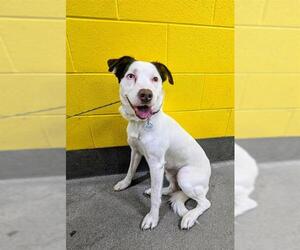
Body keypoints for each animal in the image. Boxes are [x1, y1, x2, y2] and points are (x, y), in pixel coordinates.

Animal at [108, 55, 211, 229]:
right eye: (131, 76)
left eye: (155, 79)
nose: (146, 94)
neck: (141, 124)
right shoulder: (135, 151)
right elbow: (130, 171)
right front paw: (125, 183)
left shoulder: (156, 165)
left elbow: (156, 200)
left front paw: (152, 218)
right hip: (169, 170)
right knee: (172, 189)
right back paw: (156, 190)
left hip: (184, 175)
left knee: (205, 202)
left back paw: (190, 216)